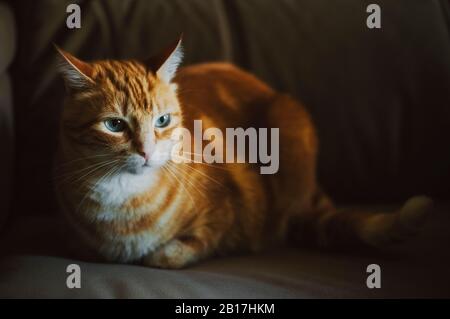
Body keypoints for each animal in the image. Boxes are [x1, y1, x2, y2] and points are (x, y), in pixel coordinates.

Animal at [53, 38, 432, 270]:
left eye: (162, 120)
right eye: (114, 125)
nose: (146, 152)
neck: (124, 201)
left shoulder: (225, 213)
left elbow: (181, 250)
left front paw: (162, 254)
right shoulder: (75, 238)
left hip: (289, 124)